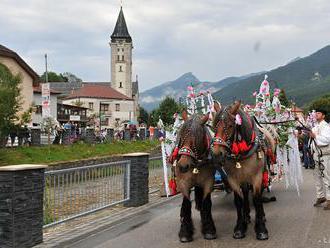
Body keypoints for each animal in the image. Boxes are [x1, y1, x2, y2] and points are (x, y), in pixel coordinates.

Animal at [173, 110, 217, 242]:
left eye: (197, 139)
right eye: (181, 137)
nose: (183, 165)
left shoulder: (208, 181)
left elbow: (206, 202)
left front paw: (208, 228)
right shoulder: (183, 182)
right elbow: (186, 203)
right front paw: (185, 232)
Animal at [211, 101, 276, 240]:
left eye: (230, 125)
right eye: (214, 127)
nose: (216, 154)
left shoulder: (256, 177)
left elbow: (256, 198)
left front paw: (261, 228)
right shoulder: (233, 179)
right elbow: (239, 201)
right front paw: (240, 227)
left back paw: (260, 216)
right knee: (245, 193)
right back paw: (246, 216)